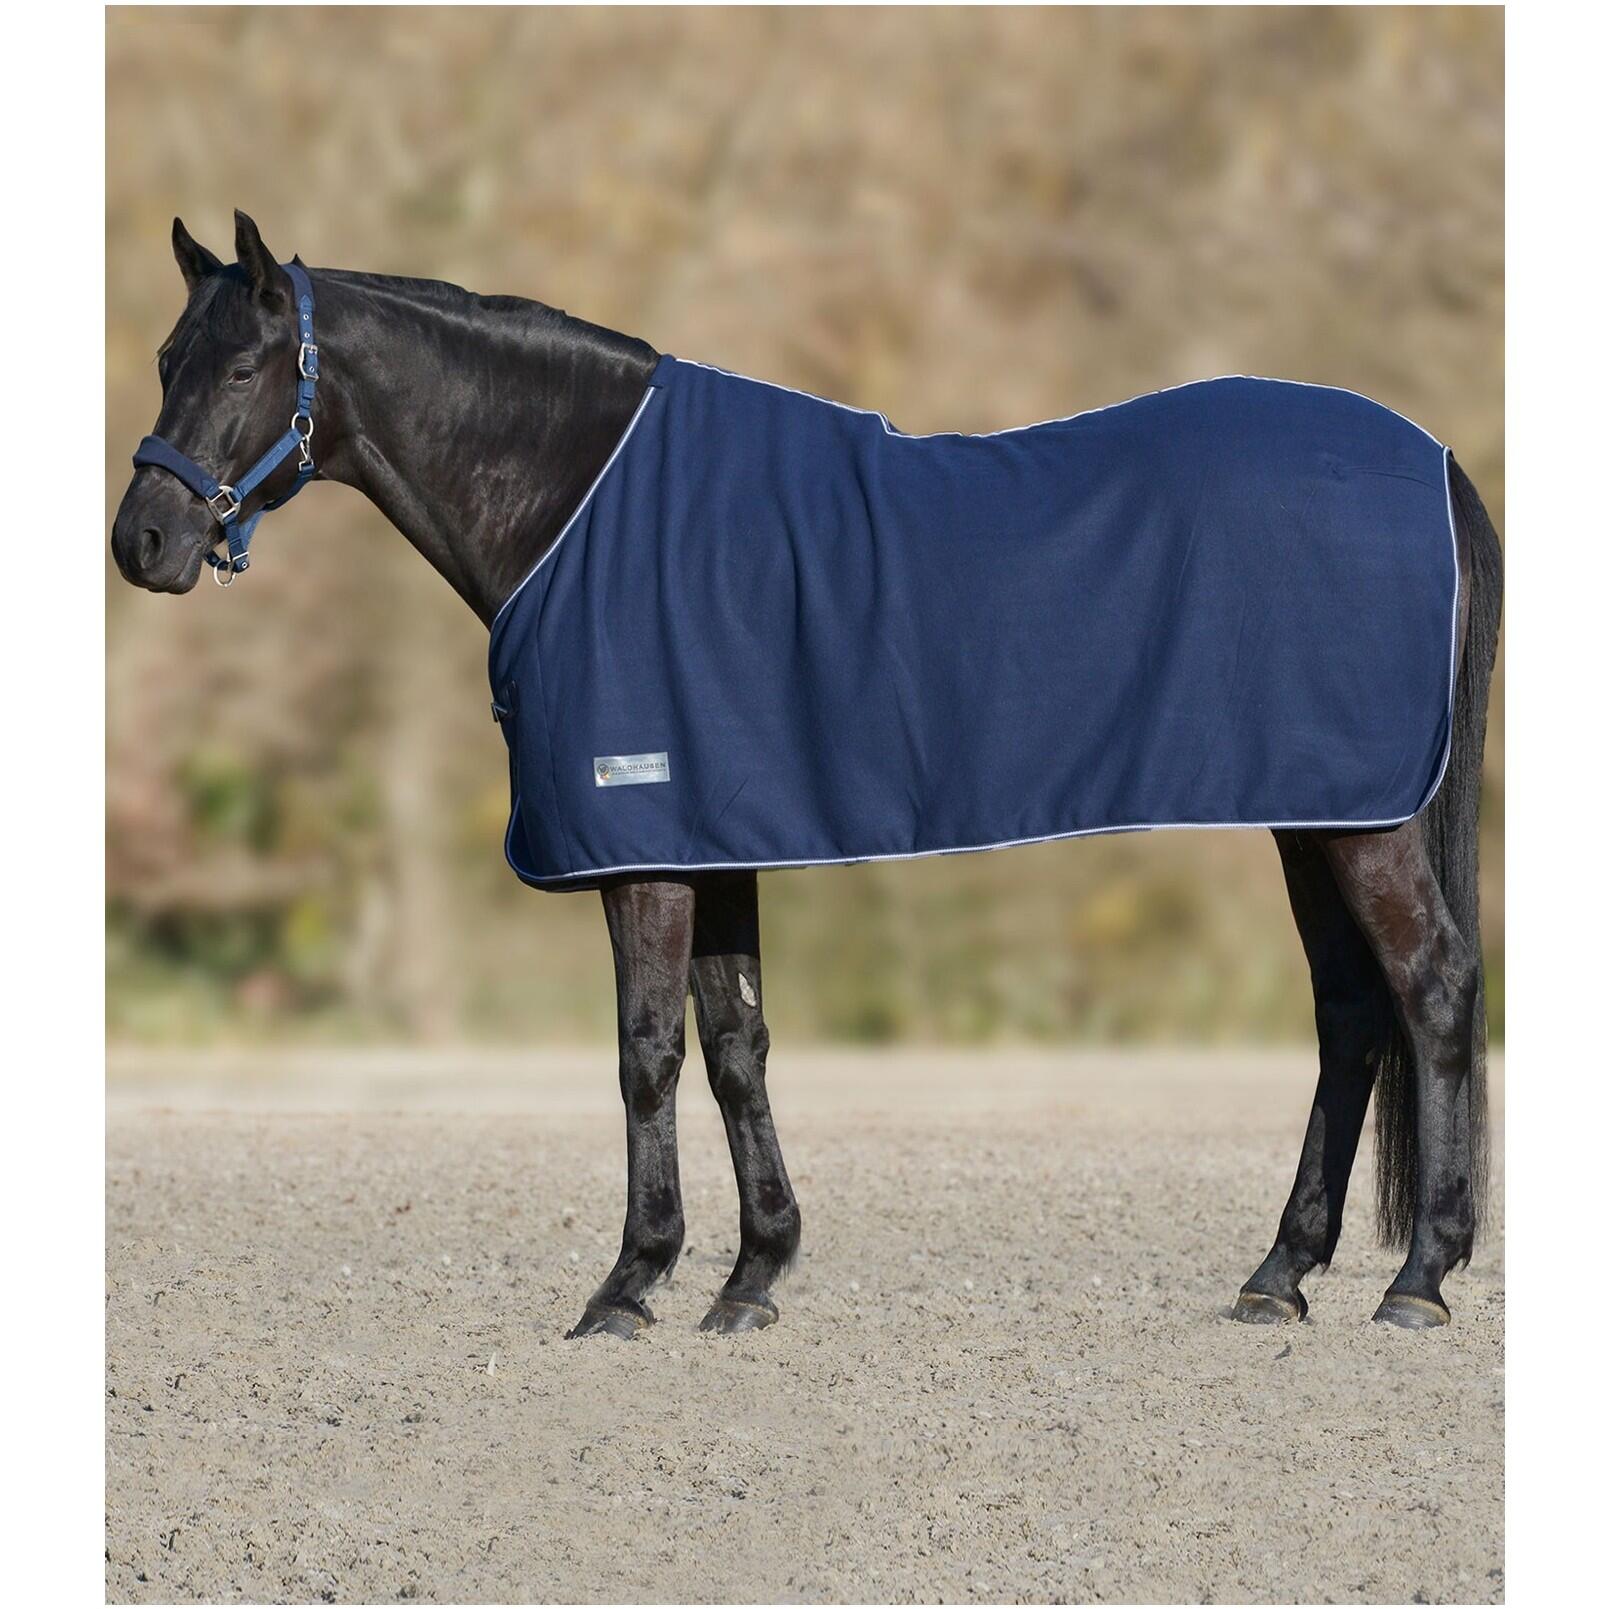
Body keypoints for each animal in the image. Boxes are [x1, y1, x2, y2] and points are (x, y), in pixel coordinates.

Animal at [111, 211, 1502, 1338]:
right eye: (168, 360)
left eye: (242, 366)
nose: (145, 541)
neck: (582, 505)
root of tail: (1427, 457)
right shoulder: (709, 839)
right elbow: (738, 1046)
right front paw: (750, 1277)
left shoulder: (646, 849)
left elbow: (647, 1052)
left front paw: (630, 1284)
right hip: (1317, 811)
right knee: (1349, 1010)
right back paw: (1282, 1272)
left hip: (1359, 821)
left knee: (1429, 988)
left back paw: (1418, 1278)